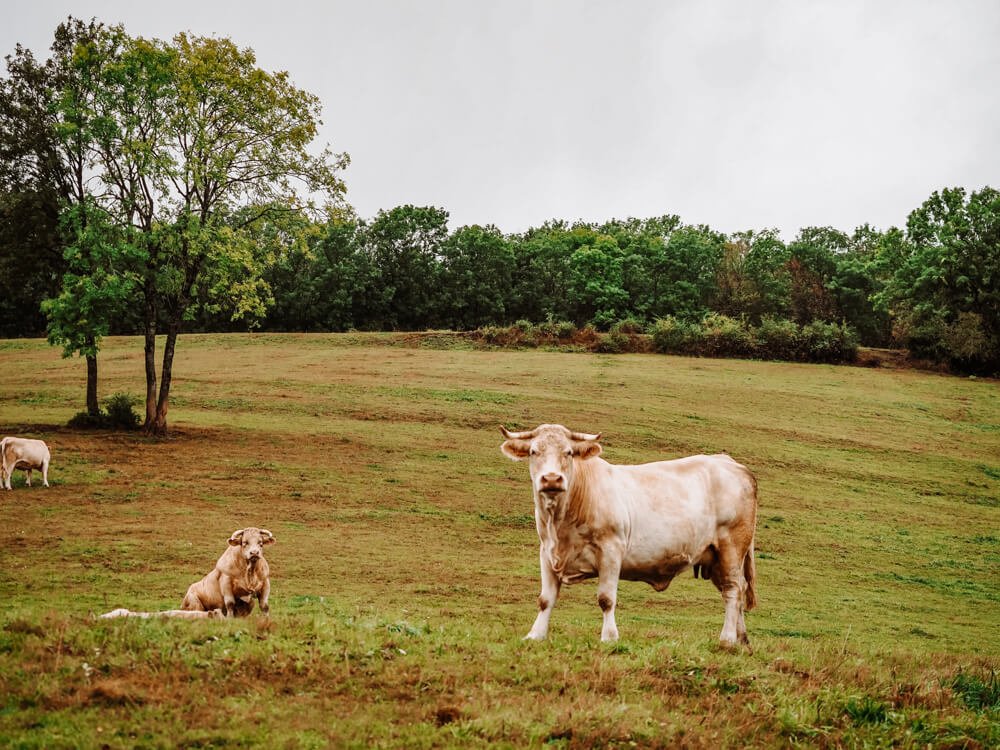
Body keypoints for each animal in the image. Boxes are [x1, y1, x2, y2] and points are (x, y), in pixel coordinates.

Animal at [500, 426, 756, 648]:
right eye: (534, 451)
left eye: (569, 452)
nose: (552, 479)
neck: (561, 524)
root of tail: (730, 463)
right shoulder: (547, 552)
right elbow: (545, 599)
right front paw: (535, 634)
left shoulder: (611, 551)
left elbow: (606, 599)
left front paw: (609, 637)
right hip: (714, 557)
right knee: (736, 591)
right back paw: (741, 639)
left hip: (732, 547)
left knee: (733, 590)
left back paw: (727, 639)